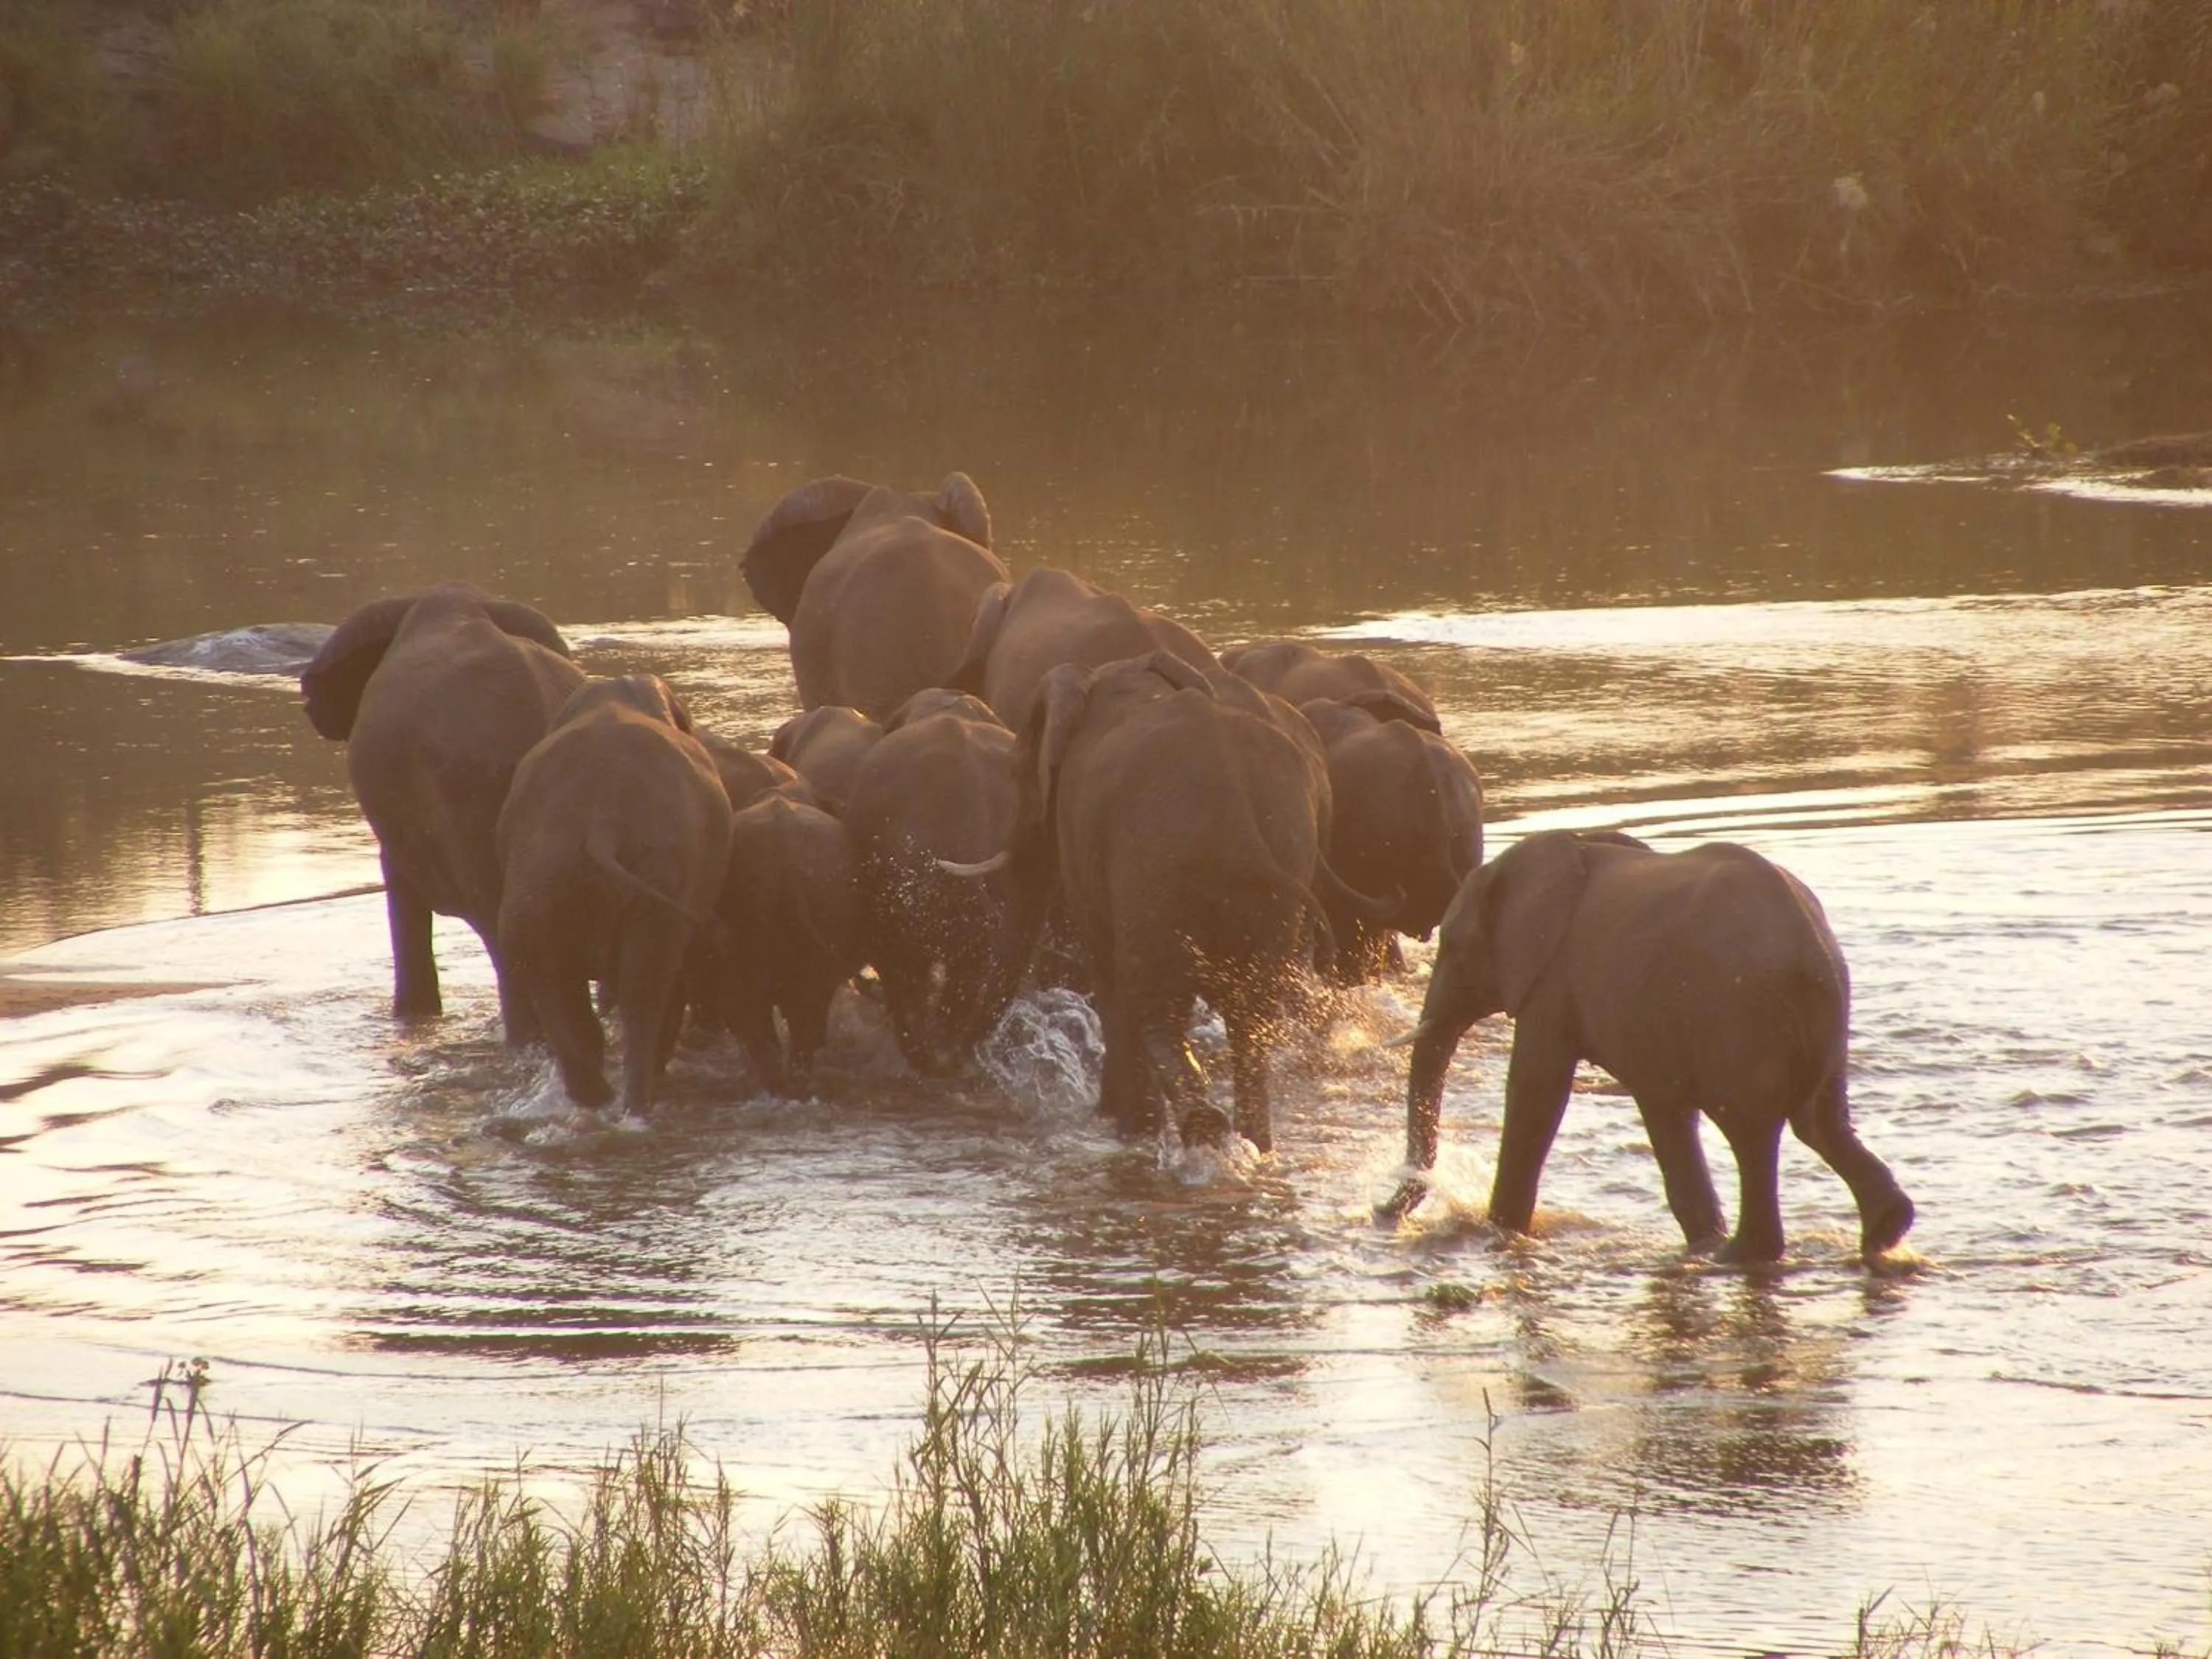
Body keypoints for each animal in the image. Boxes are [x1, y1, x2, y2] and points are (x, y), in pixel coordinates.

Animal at [495, 675, 732, 1117]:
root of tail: (601, 820)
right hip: (660, 868)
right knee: (646, 984)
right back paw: (636, 1104)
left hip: (540, 876)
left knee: (554, 979)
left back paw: (600, 1102)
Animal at [710, 794, 864, 1093]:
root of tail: (787, 851)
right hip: (829, 900)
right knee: (805, 1002)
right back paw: (794, 1081)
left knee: (757, 1004)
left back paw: (775, 1081)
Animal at [1383, 829, 1915, 1264]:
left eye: (1453, 946)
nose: (1384, 1212)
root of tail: (1809, 947)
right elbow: (1664, 1109)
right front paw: (1701, 1236)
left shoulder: (1550, 982)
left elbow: (1536, 1090)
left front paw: (1500, 1231)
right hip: (1822, 1015)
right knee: (1820, 1121)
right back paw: (1883, 1231)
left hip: (1740, 1016)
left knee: (1753, 1131)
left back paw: (1740, 1256)